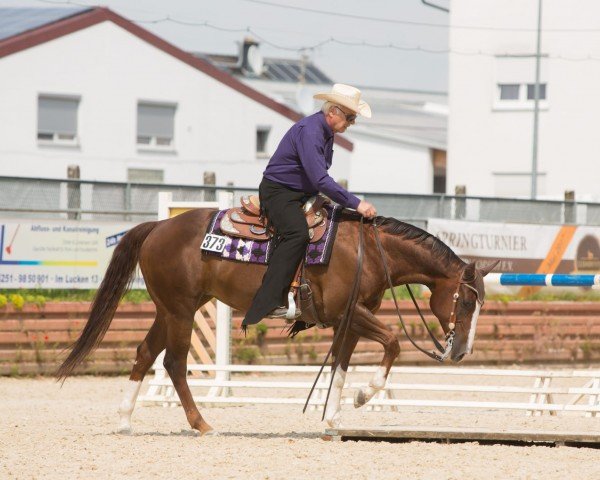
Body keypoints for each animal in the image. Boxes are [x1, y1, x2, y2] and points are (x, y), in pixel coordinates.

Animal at [56, 208, 496, 434]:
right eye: (466, 301)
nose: (462, 351)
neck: (368, 251)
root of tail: (159, 225)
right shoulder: (349, 312)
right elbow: (392, 343)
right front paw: (363, 396)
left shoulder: (351, 320)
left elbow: (340, 366)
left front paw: (332, 419)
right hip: (181, 310)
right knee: (174, 363)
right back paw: (201, 423)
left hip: (171, 309)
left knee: (145, 352)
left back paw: (124, 420)